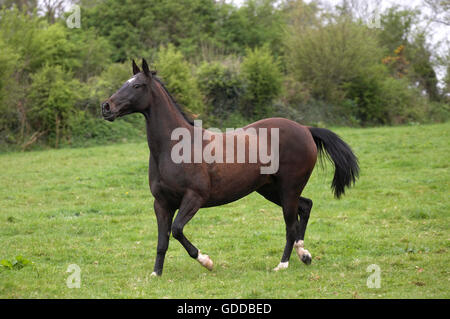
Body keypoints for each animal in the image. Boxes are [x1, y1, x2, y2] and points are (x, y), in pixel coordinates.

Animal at [101, 60, 358, 278]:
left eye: (137, 85)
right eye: (124, 82)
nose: (106, 107)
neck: (174, 147)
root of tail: (305, 129)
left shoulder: (194, 198)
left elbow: (177, 230)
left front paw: (206, 261)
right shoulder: (161, 203)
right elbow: (162, 240)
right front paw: (156, 274)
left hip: (289, 189)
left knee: (291, 224)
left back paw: (283, 264)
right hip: (271, 190)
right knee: (305, 207)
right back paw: (303, 254)